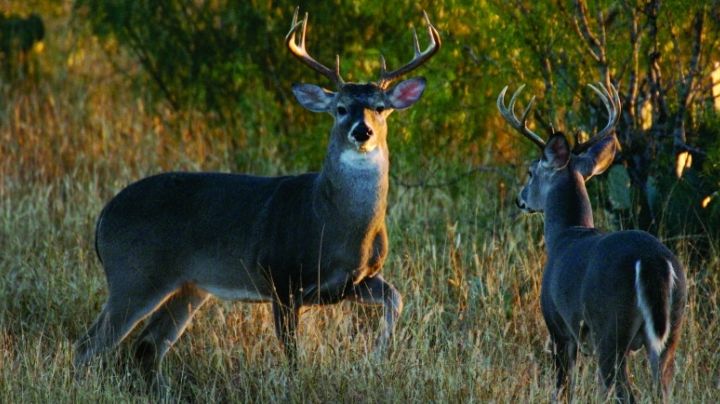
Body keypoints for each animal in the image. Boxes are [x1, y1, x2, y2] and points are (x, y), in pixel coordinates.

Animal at [76, 7, 442, 390]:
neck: (335, 225)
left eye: (381, 107)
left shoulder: (353, 280)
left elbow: (396, 298)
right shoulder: (281, 277)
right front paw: (300, 383)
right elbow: (292, 353)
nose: (363, 131)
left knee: (148, 345)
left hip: (188, 286)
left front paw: (376, 356)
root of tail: (103, 216)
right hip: (134, 274)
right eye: (341, 108)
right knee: (89, 344)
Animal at [498, 83, 688, 404]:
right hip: (672, 326)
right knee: (663, 387)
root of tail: (652, 261)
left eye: (531, 172)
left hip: (610, 325)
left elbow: (562, 388)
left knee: (624, 390)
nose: (520, 199)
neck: (566, 234)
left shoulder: (559, 325)